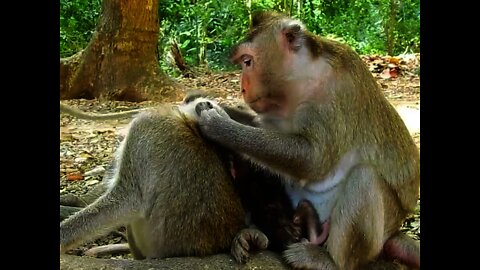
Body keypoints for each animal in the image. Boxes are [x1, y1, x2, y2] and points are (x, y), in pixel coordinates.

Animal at [197, 11, 418, 268]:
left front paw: (218, 125)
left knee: (364, 177)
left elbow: (313, 160)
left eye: (247, 61)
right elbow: (261, 127)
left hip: (384, 224)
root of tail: (394, 232)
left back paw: (328, 260)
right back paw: (252, 234)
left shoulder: (333, 94)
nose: (242, 87)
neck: (300, 80)